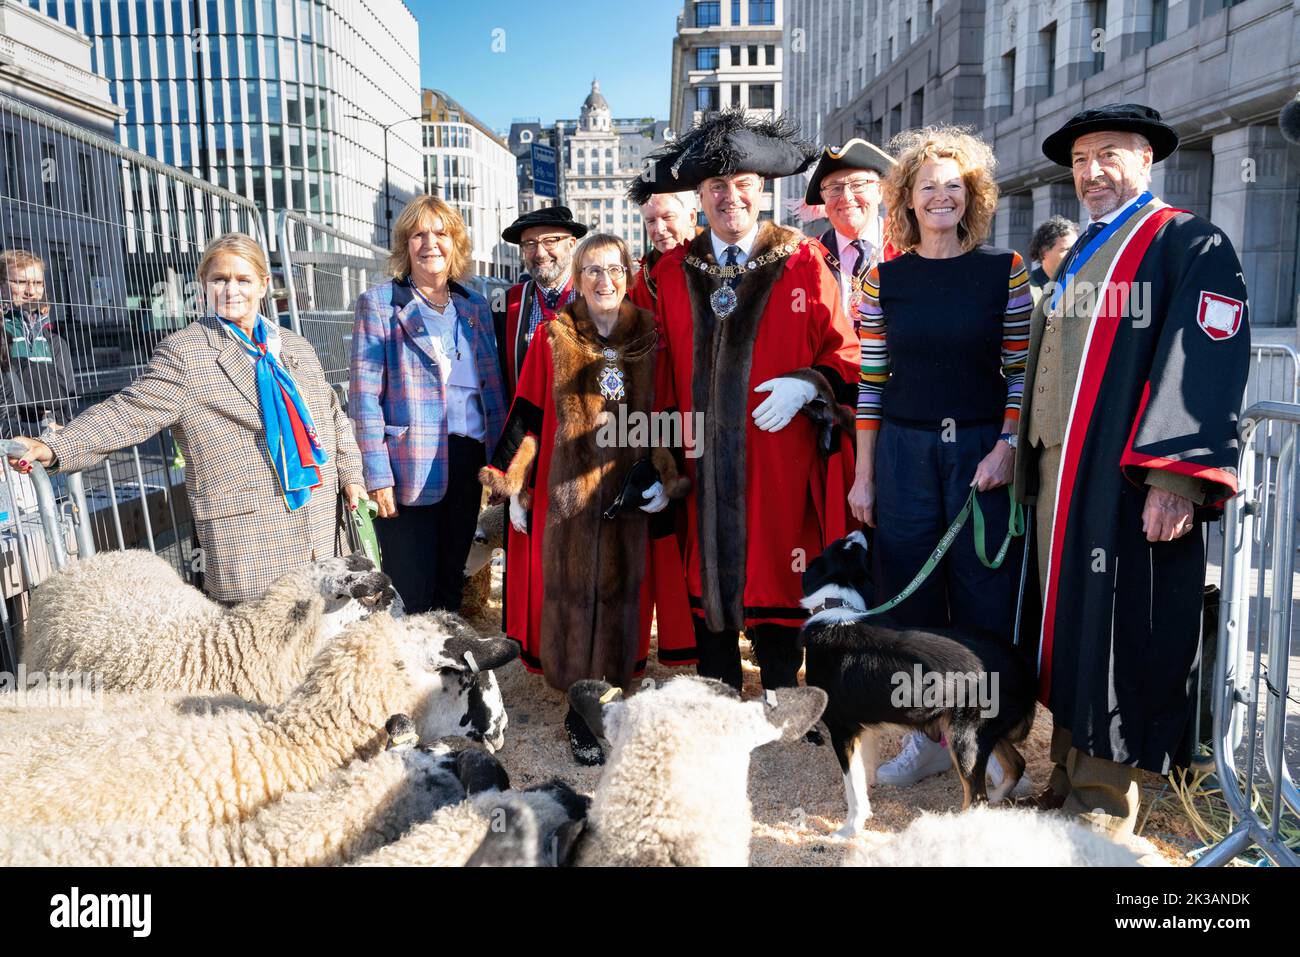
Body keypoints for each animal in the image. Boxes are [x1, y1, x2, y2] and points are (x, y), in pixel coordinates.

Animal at [800, 530, 1034, 837]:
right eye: (846, 546)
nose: (861, 531)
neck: (838, 604)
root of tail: (1023, 663)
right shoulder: (865, 727)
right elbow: (864, 775)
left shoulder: (842, 730)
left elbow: (853, 786)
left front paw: (850, 829)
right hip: (985, 732)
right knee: (1016, 765)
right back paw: (997, 802)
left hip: (965, 737)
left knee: (976, 798)